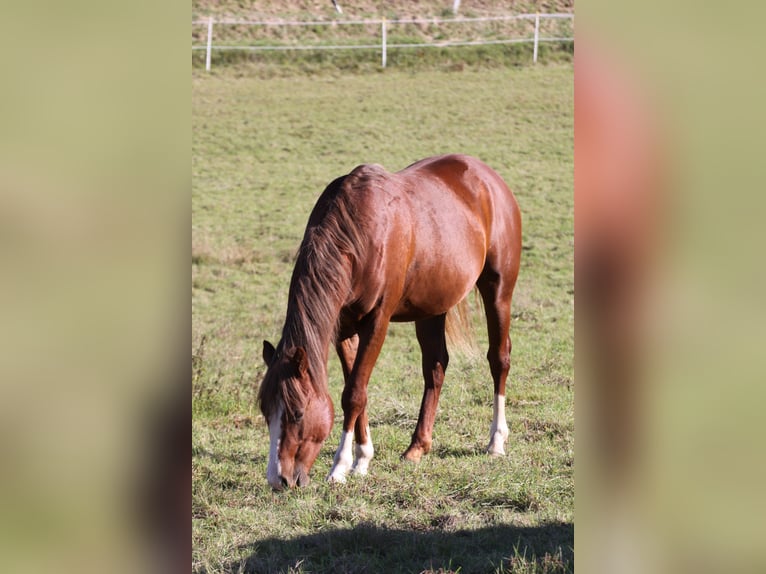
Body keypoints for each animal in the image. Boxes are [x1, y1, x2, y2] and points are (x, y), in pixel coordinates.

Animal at [258, 155, 520, 492]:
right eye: (265, 411)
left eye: (298, 413)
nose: (278, 479)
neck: (358, 233)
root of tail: (488, 177)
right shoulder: (343, 329)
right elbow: (358, 391)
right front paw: (362, 459)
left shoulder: (377, 323)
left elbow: (354, 393)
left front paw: (340, 467)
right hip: (432, 307)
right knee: (435, 367)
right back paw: (417, 447)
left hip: (498, 291)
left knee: (498, 359)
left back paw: (496, 442)